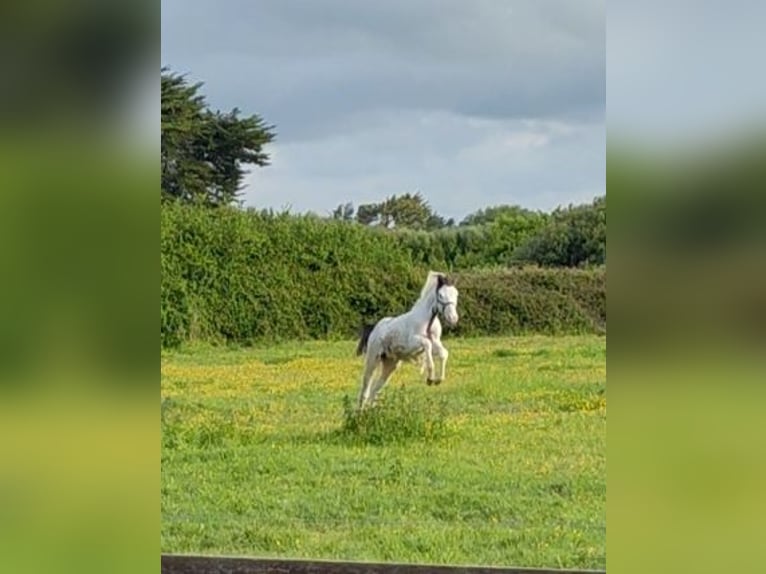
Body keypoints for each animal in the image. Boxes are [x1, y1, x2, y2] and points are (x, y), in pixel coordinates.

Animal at [354, 271, 460, 409]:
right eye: (441, 295)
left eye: (456, 294)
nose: (453, 318)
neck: (427, 322)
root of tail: (374, 329)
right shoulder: (413, 343)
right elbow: (427, 345)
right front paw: (430, 378)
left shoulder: (436, 342)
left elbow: (443, 353)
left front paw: (438, 380)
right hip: (372, 359)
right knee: (365, 388)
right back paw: (360, 411)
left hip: (390, 364)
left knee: (375, 389)